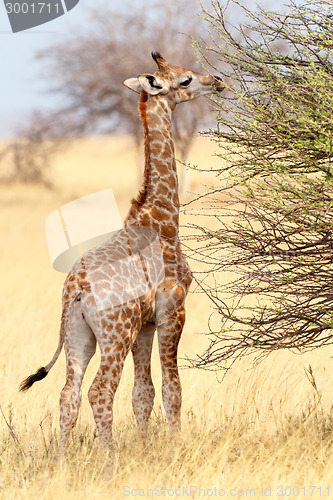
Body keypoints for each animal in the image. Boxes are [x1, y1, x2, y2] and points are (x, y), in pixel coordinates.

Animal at [19, 52, 224, 456]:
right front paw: (174, 449)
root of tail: (76, 291)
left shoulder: (145, 324)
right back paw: (108, 460)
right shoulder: (172, 310)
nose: (217, 81)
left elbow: (143, 393)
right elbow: (172, 389)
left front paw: (144, 451)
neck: (160, 218)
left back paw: (63, 461)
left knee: (69, 394)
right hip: (115, 333)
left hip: (79, 334)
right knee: (99, 392)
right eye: (186, 80)